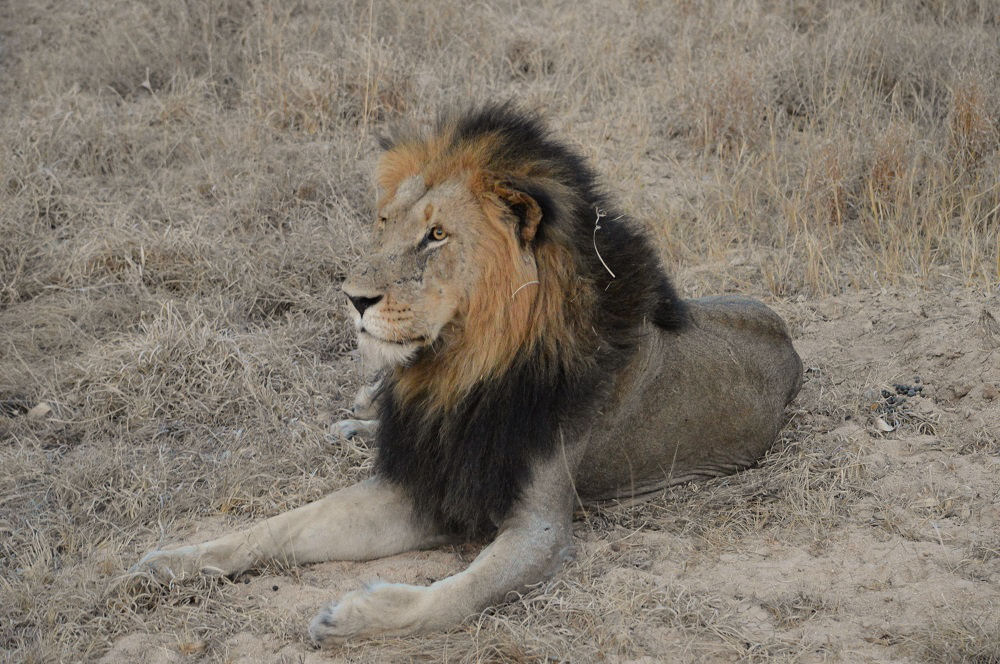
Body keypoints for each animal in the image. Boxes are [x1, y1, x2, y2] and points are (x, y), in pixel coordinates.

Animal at [135, 104, 803, 644]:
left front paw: (351, 617)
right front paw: (171, 561)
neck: (460, 373)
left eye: (436, 235)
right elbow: (279, 527)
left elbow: (456, 597)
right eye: (385, 225)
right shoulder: (419, 481)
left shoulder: (539, 526)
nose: (354, 299)